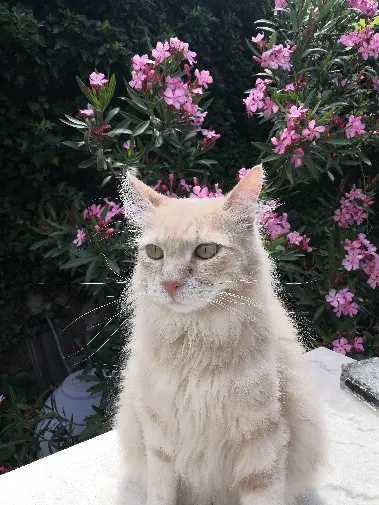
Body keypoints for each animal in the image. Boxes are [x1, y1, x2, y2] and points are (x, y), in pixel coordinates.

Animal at [114, 165, 326, 504]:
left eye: (206, 251)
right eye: (155, 252)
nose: (170, 284)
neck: (195, 346)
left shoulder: (262, 443)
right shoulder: (159, 441)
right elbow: (160, 495)